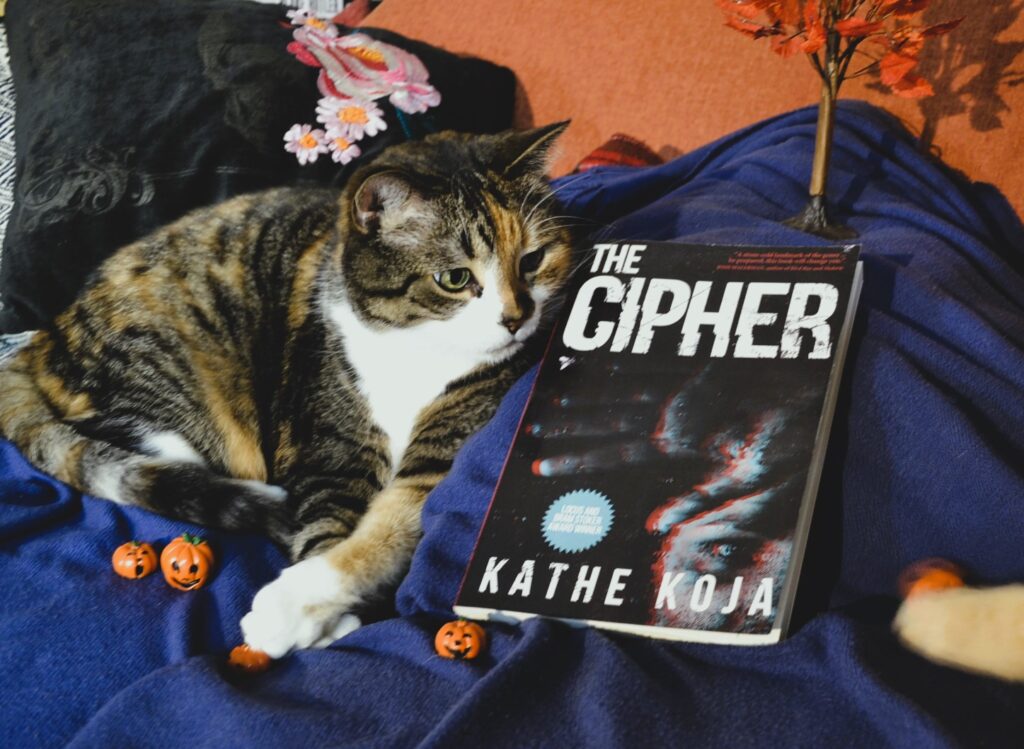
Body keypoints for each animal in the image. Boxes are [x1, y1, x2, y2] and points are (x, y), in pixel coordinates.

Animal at [0, 122, 577, 655]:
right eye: (455, 279)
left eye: (532, 260)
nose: (515, 319)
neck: (413, 349)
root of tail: (44, 333)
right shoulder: (327, 446)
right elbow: (326, 518)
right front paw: (320, 614)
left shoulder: (442, 454)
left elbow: (385, 531)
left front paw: (291, 607)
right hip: (173, 398)